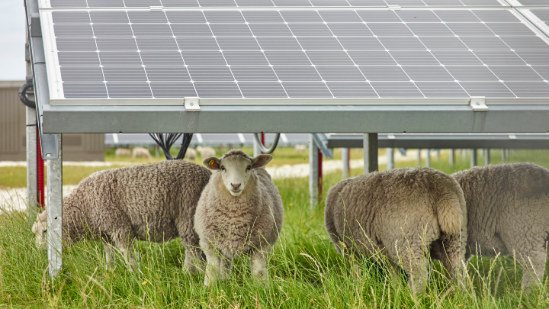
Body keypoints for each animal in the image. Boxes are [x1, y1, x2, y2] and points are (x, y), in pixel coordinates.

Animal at [32, 160, 211, 270]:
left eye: (45, 232)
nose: (38, 253)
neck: (84, 206)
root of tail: (208, 174)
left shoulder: (119, 226)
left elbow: (126, 254)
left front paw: (134, 274)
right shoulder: (105, 233)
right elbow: (109, 254)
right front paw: (109, 272)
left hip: (188, 217)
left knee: (193, 251)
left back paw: (188, 273)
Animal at [194, 149, 282, 284]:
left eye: (248, 167)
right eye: (222, 167)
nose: (235, 185)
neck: (235, 219)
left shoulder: (261, 245)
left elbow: (259, 272)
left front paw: (262, 287)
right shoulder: (210, 244)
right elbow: (212, 270)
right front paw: (210, 288)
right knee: (224, 264)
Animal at [326, 167, 466, 292]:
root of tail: (442, 190)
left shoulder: (347, 248)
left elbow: (356, 269)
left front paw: (358, 286)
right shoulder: (386, 249)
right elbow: (393, 271)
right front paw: (395, 288)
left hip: (407, 240)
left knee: (419, 275)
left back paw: (412, 296)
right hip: (454, 237)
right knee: (456, 268)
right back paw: (457, 293)